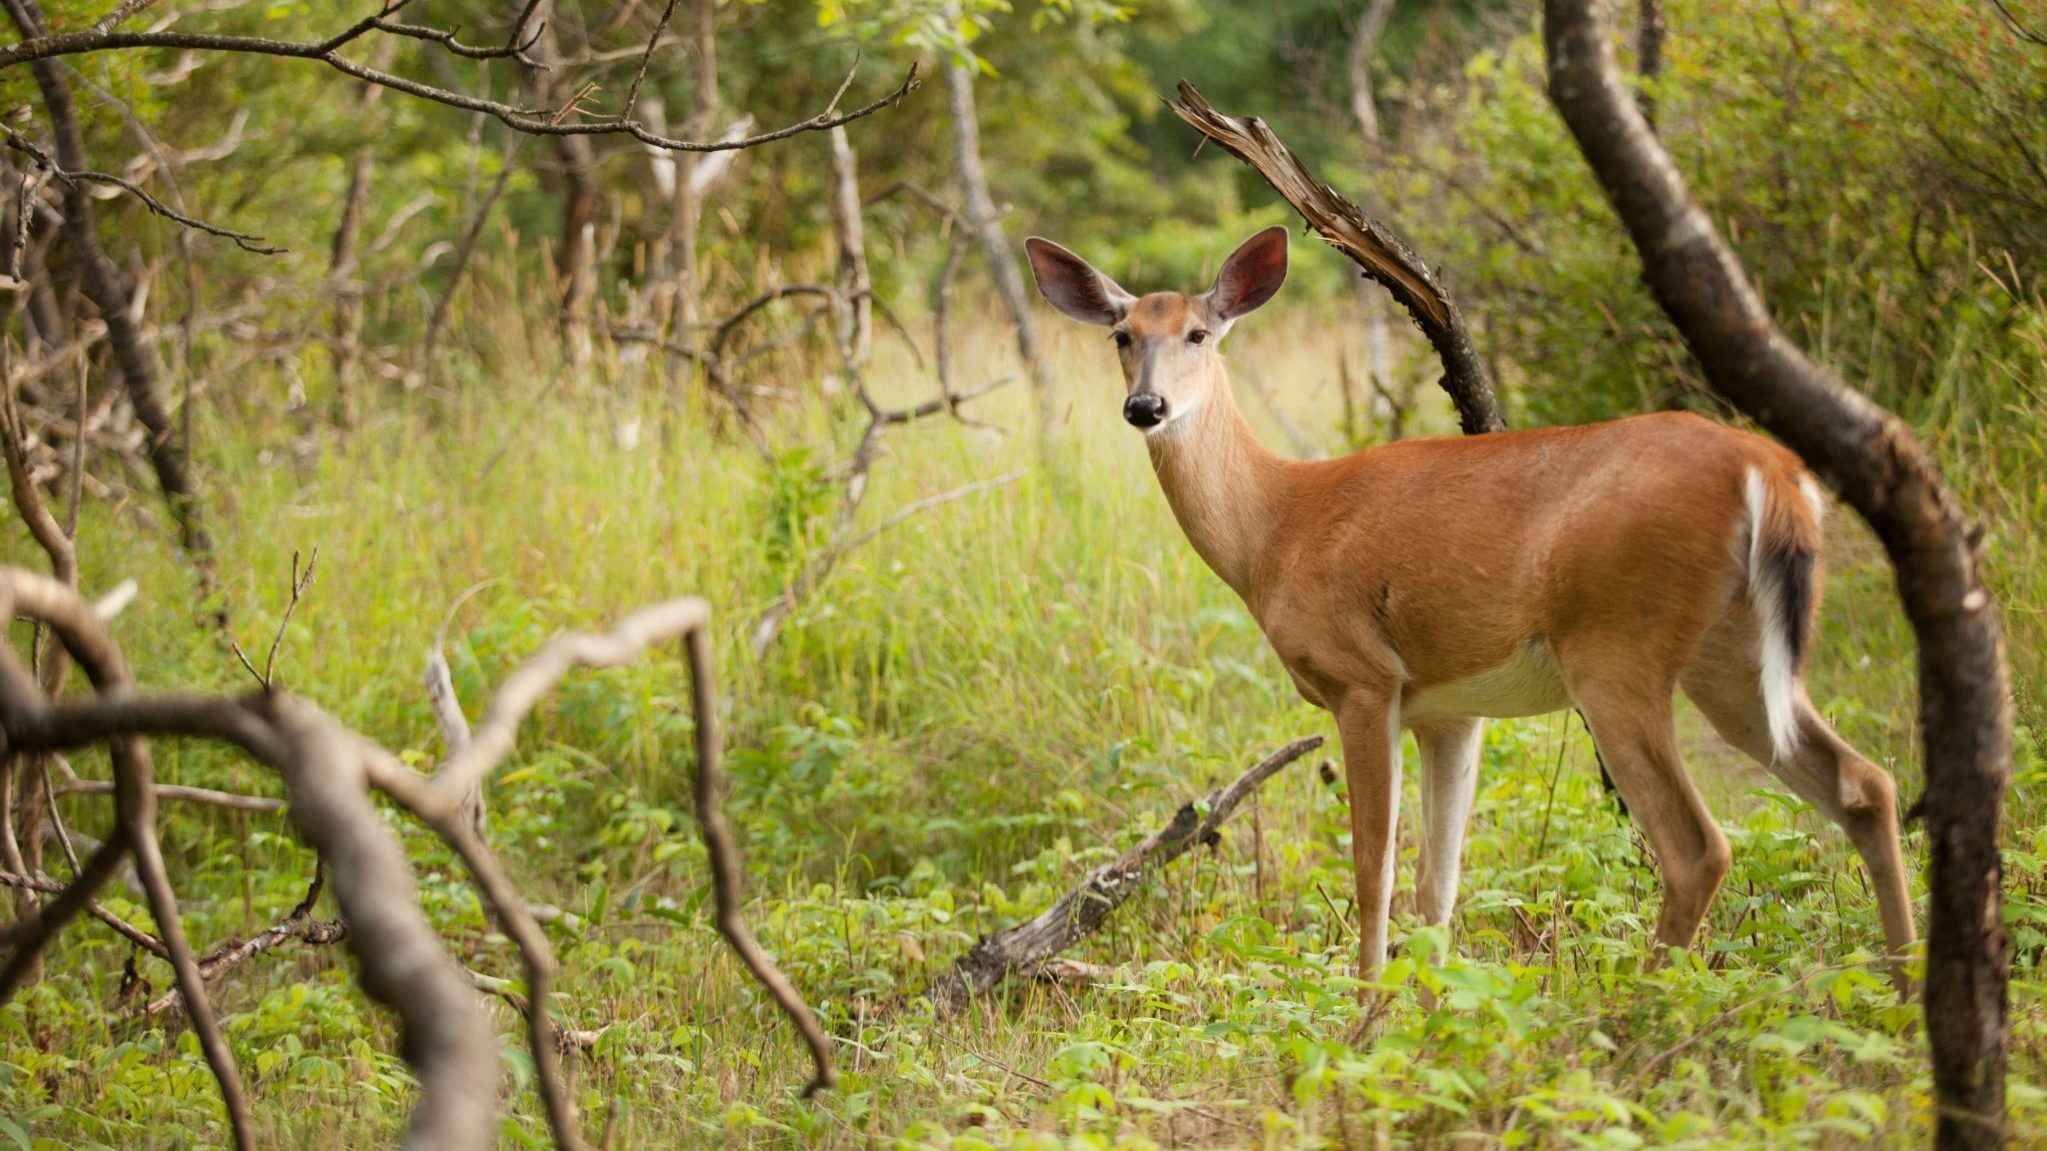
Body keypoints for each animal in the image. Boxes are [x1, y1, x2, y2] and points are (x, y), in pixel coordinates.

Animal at [1023, 224, 1915, 987]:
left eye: (1198, 334)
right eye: (1121, 334)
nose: (1146, 408)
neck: (1276, 527)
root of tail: (1771, 470)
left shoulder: (1361, 678)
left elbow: (1373, 869)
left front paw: (1362, 1017)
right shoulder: (1449, 709)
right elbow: (1436, 882)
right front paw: (1420, 1016)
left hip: (1616, 646)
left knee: (1697, 846)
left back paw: (1640, 1010)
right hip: (1730, 654)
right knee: (1865, 782)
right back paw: (1904, 990)